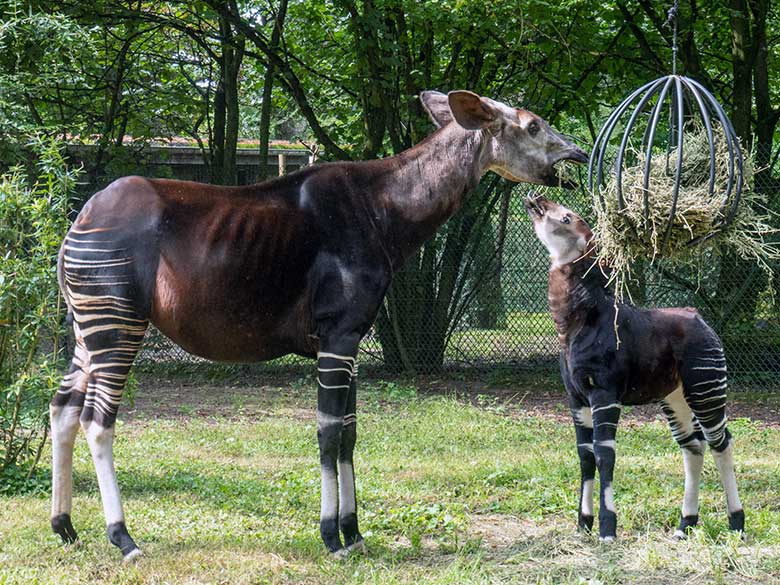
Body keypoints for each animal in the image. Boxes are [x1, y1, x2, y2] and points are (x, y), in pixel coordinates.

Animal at [50, 89, 584, 560]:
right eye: (533, 125)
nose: (578, 153)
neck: (384, 210)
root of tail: (80, 221)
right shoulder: (337, 335)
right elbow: (329, 433)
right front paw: (331, 536)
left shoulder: (351, 340)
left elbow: (350, 432)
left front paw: (355, 533)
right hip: (118, 324)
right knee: (98, 421)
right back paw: (123, 539)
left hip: (85, 330)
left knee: (63, 409)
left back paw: (66, 528)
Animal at [524, 196, 744, 544]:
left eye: (567, 217)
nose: (537, 199)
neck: (573, 324)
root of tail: (700, 318)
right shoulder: (576, 398)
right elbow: (585, 457)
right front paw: (583, 525)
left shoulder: (604, 394)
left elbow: (605, 456)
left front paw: (607, 528)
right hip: (675, 397)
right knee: (693, 447)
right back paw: (685, 525)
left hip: (705, 388)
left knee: (721, 442)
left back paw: (736, 524)